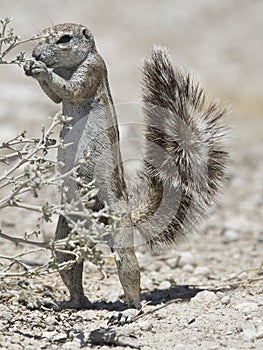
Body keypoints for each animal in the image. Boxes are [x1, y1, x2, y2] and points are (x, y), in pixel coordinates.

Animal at [23, 23, 229, 310]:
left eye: (65, 39)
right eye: (41, 35)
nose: (36, 54)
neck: (68, 66)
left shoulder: (93, 71)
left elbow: (71, 89)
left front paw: (41, 69)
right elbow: (55, 97)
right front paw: (30, 66)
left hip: (119, 232)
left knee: (130, 272)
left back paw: (130, 310)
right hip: (66, 236)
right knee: (70, 268)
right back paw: (68, 302)